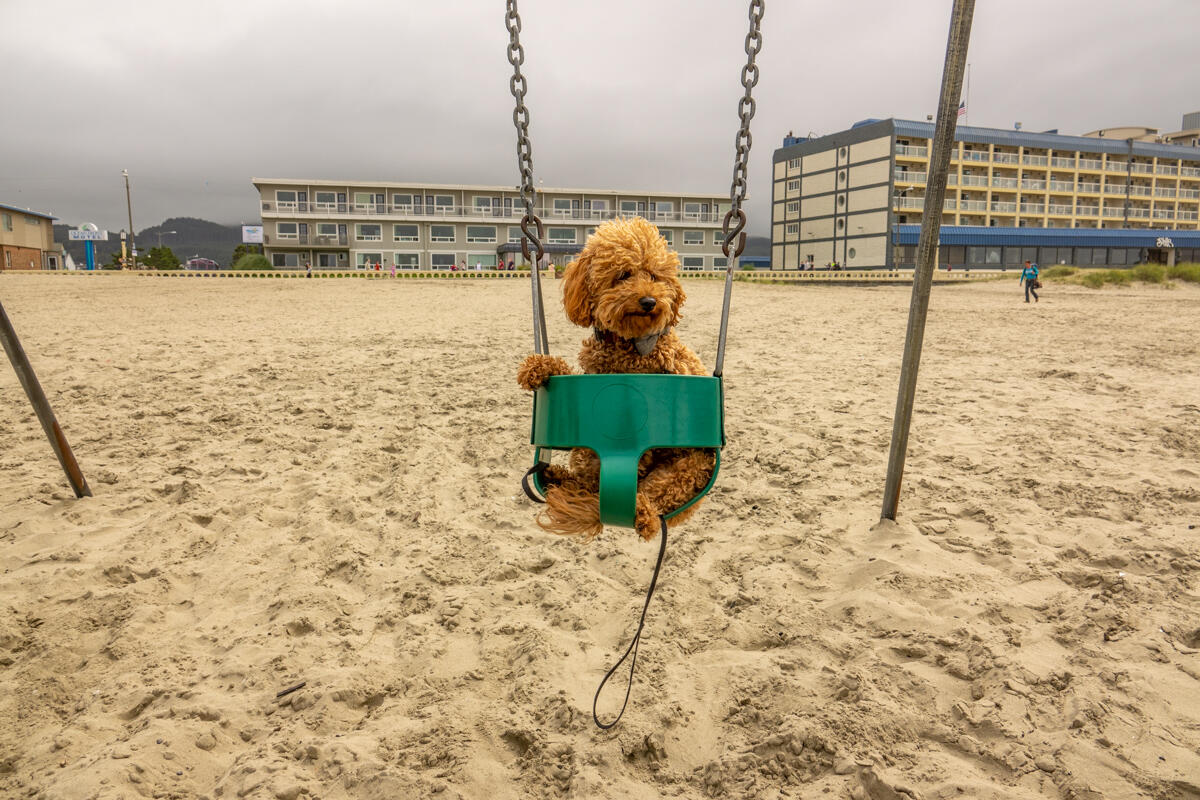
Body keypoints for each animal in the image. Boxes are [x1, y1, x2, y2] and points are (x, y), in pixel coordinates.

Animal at [516, 215, 710, 542]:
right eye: (623, 275)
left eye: (655, 276)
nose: (649, 301)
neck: (626, 344)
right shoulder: (592, 376)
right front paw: (539, 366)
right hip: (586, 453)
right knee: (589, 484)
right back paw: (556, 477)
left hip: (687, 468)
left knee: (651, 499)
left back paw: (641, 512)